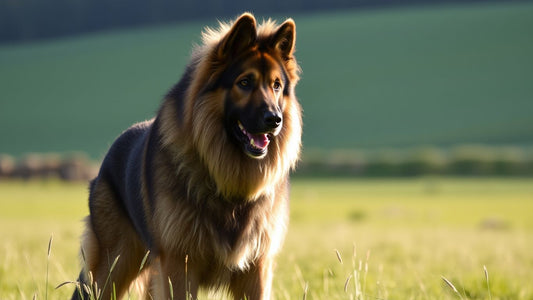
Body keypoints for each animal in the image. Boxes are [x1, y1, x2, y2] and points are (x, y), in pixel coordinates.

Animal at [72, 12, 302, 300]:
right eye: (245, 82)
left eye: (276, 86)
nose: (275, 120)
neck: (223, 176)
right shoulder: (178, 265)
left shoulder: (256, 269)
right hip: (113, 266)